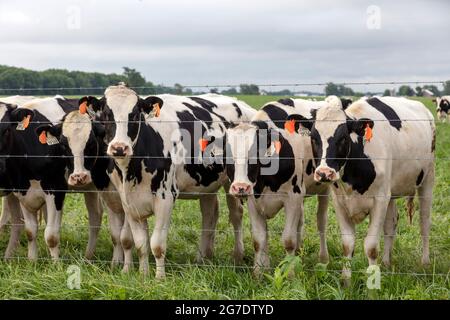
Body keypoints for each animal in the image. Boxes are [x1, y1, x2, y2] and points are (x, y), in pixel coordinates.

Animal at [78, 85, 256, 278]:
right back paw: (203, 258)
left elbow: (156, 244)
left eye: (135, 114)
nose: (119, 148)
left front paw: (159, 278)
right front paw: (143, 275)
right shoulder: (128, 202)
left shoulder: (165, 198)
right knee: (210, 214)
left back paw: (237, 257)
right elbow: (139, 243)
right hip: (206, 184)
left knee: (236, 215)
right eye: (105, 114)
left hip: (233, 180)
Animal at [222, 97, 330, 276]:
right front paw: (259, 273)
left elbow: (288, 240)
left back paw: (323, 259)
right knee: (300, 221)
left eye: (254, 155)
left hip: (325, 189)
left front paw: (290, 273)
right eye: (227, 156)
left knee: (321, 221)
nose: (240, 187)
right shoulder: (253, 201)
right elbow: (259, 240)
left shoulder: (293, 197)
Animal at [286, 96, 434, 284]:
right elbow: (347, 244)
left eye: (343, 138)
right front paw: (346, 281)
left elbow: (371, 247)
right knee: (391, 224)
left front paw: (373, 283)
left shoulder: (379, 200)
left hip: (427, 179)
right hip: (391, 192)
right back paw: (386, 263)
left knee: (424, 223)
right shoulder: (340, 202)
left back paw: (425, 263)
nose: (324, 173)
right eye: (313, 138)